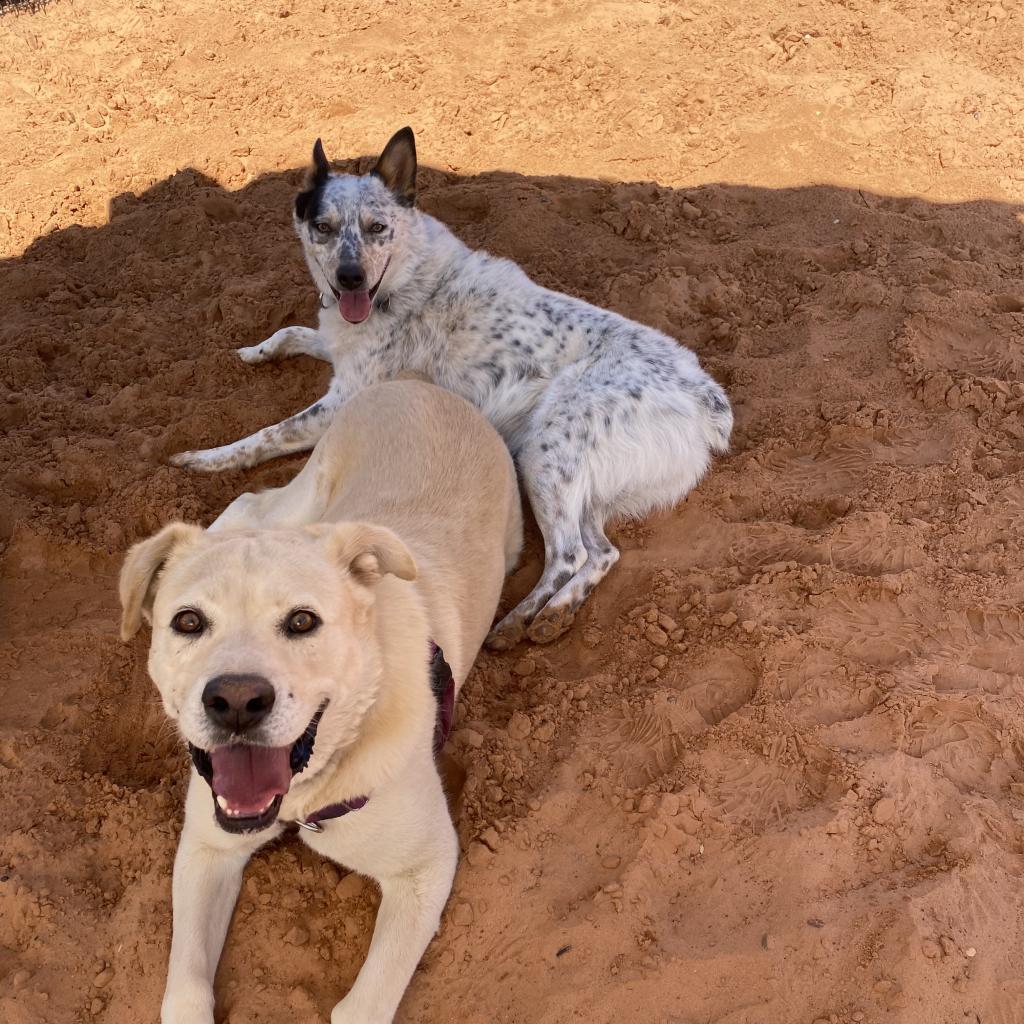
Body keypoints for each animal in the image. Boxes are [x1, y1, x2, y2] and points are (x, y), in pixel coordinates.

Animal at [119, 382, 520, 1024]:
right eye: (187, 622)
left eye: (303, 621)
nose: (236, 701)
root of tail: (420, 384)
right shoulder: (207, 845)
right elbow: (185, 990)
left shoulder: (426, 867)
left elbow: (363, 1006)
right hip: (309, 496)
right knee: (251, 503)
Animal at [172, 123, 733, 643]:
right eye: (323, 227)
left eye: (377, 227)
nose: (350, 277)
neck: (398, 283)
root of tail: (704, 394)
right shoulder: (339, 347)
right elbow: (290, 332)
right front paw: (252, 352)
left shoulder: (344, 399)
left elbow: (266, 435)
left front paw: (205, 459)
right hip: (585, 482)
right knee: (603, 552)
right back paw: (555, 615)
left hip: (545, 452)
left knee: (570, 554)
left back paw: (523, 619)